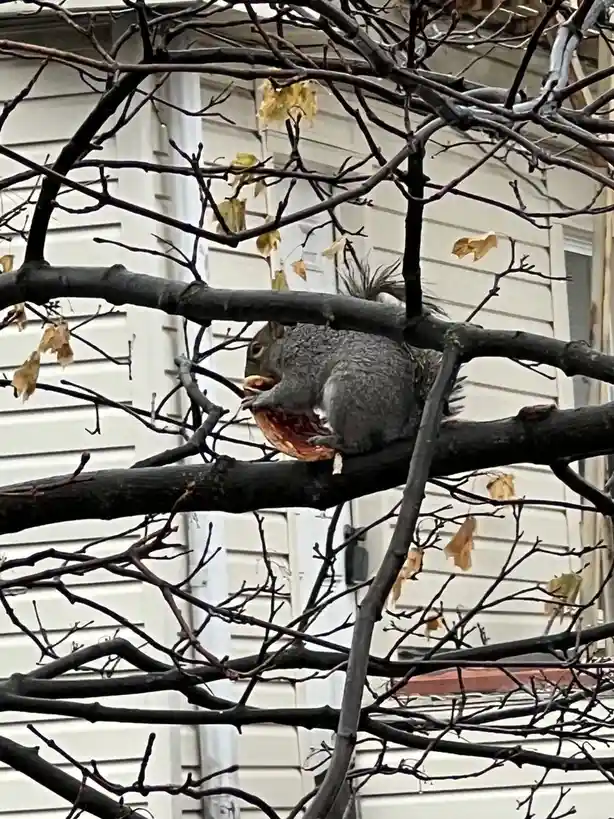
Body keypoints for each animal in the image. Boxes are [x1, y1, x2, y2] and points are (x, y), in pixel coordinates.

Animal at [242, 260, 464, 456]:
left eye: (256, 349)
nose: (246, 374)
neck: (287, 343)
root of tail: (400, 426)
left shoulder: (303, 363)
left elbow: (294, 391)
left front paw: (260, 397)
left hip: (347, 394)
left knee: (359, 444)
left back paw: (330, 440)